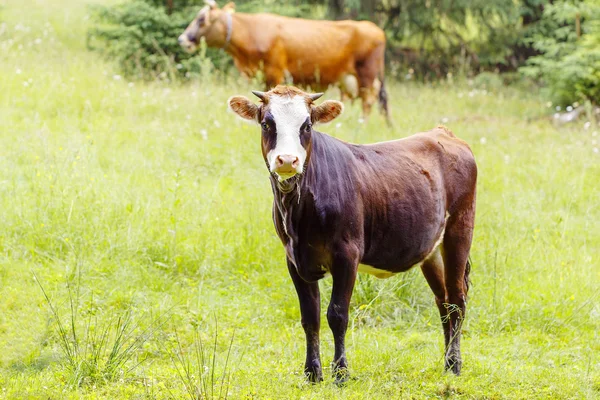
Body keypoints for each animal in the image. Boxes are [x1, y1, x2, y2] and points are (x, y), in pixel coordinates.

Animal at [179, 0, 390, 122]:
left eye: (201, 19)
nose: (182, 39)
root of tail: (374, 28)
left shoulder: (275, 72)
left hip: (367, 74)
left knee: (368, 101)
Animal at [227, 85, 480, 384]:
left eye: (307, 125)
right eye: (267, 123)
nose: (287, 160)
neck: (299, 212)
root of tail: (443, 133)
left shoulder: (347, 254)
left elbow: (337, 313)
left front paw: (340, 373)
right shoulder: (293, 259)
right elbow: (309, 316)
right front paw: (312, 373)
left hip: (459, 231)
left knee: (457, 300)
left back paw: (454, 364)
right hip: (430, 249)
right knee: (443, 302)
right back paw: (446, 363)